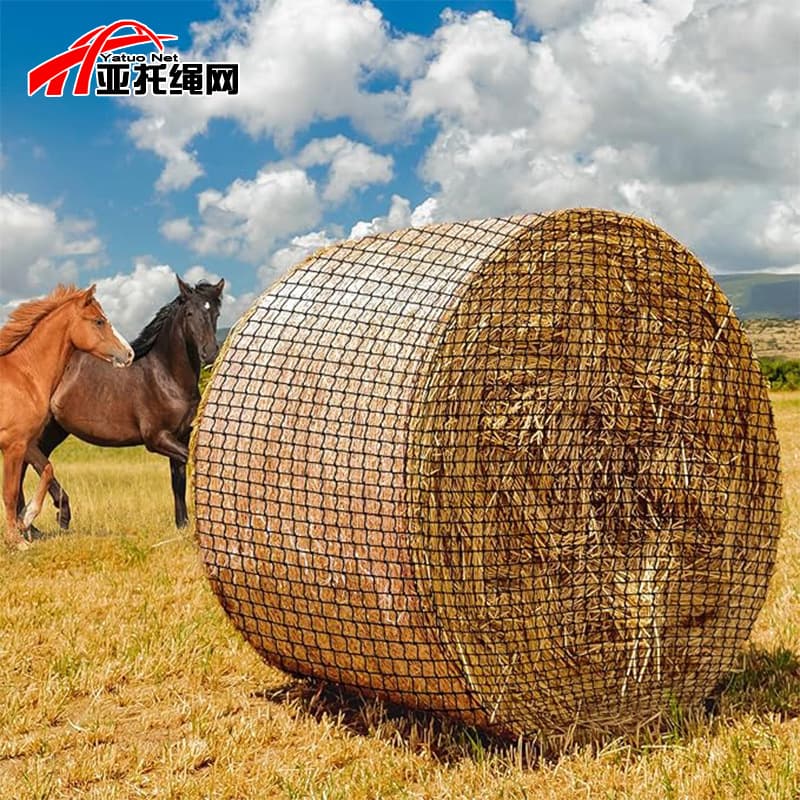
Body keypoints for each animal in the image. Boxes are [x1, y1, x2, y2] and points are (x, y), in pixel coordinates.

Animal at [0, 284, 133, 548]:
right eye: (99, 321)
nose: (129, 354)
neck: (25, 375)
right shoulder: (13, 444)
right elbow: (9, 493)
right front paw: (17, 540)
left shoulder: (27, 443)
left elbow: (48, 470)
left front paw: (26, 519)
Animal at [19, 276, 224, 531]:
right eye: (189, 313)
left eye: (215, 312)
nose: (210, 353)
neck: (166, 376)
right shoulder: (157, 438)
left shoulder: (180, 435)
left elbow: (177, 482)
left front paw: (182, 525)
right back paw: (55, 515)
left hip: (54, 430)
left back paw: (31, 526)